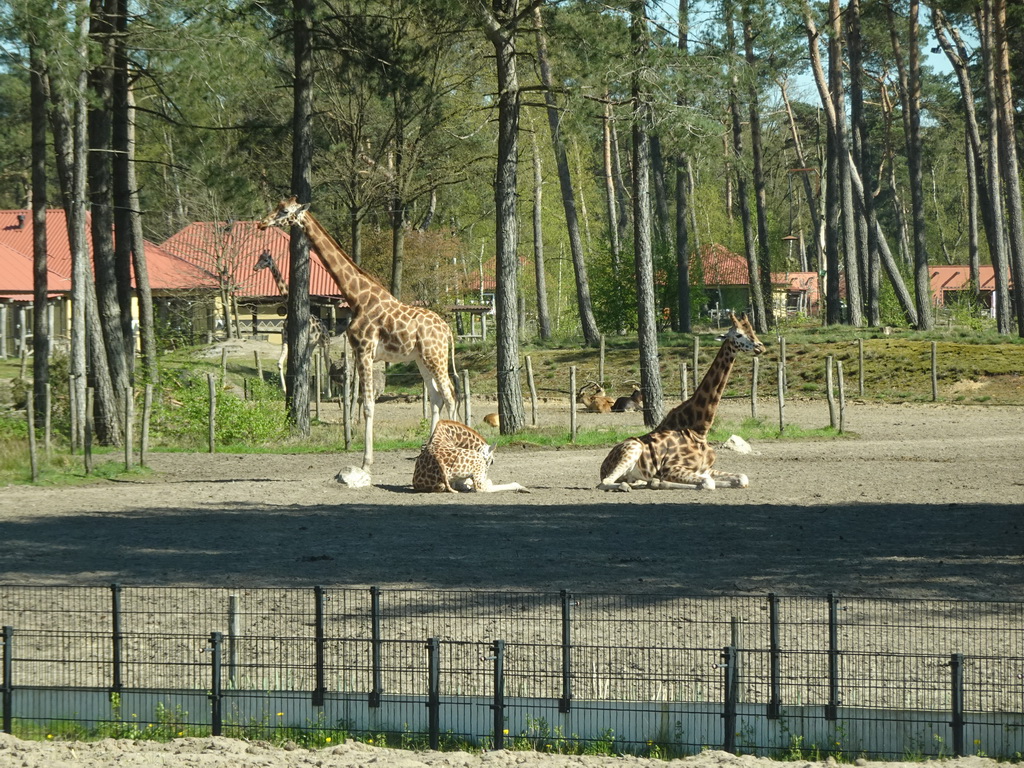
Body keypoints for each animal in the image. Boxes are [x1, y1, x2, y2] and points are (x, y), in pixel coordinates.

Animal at [251, 249, 331, 391]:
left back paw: (328, 392)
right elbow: (280, 363)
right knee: (311, 362)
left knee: (327, 364)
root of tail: (325, 328)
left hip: (325, 343)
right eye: (259, 257)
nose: (255, 267)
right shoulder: (286, 338)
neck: (288, 307)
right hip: (312, 344)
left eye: (266, 260)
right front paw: (285, 389)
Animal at [598, 313, 765, 493]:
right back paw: (629, 486)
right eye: (738, 335)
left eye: (752, 331)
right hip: (633, 448)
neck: (699, 429)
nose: (760, 347)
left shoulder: (705, 468)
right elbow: (708, 483)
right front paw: (662, 482)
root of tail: (603, 465)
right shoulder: (670, 467)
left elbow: (742, 478)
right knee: (604, 482)